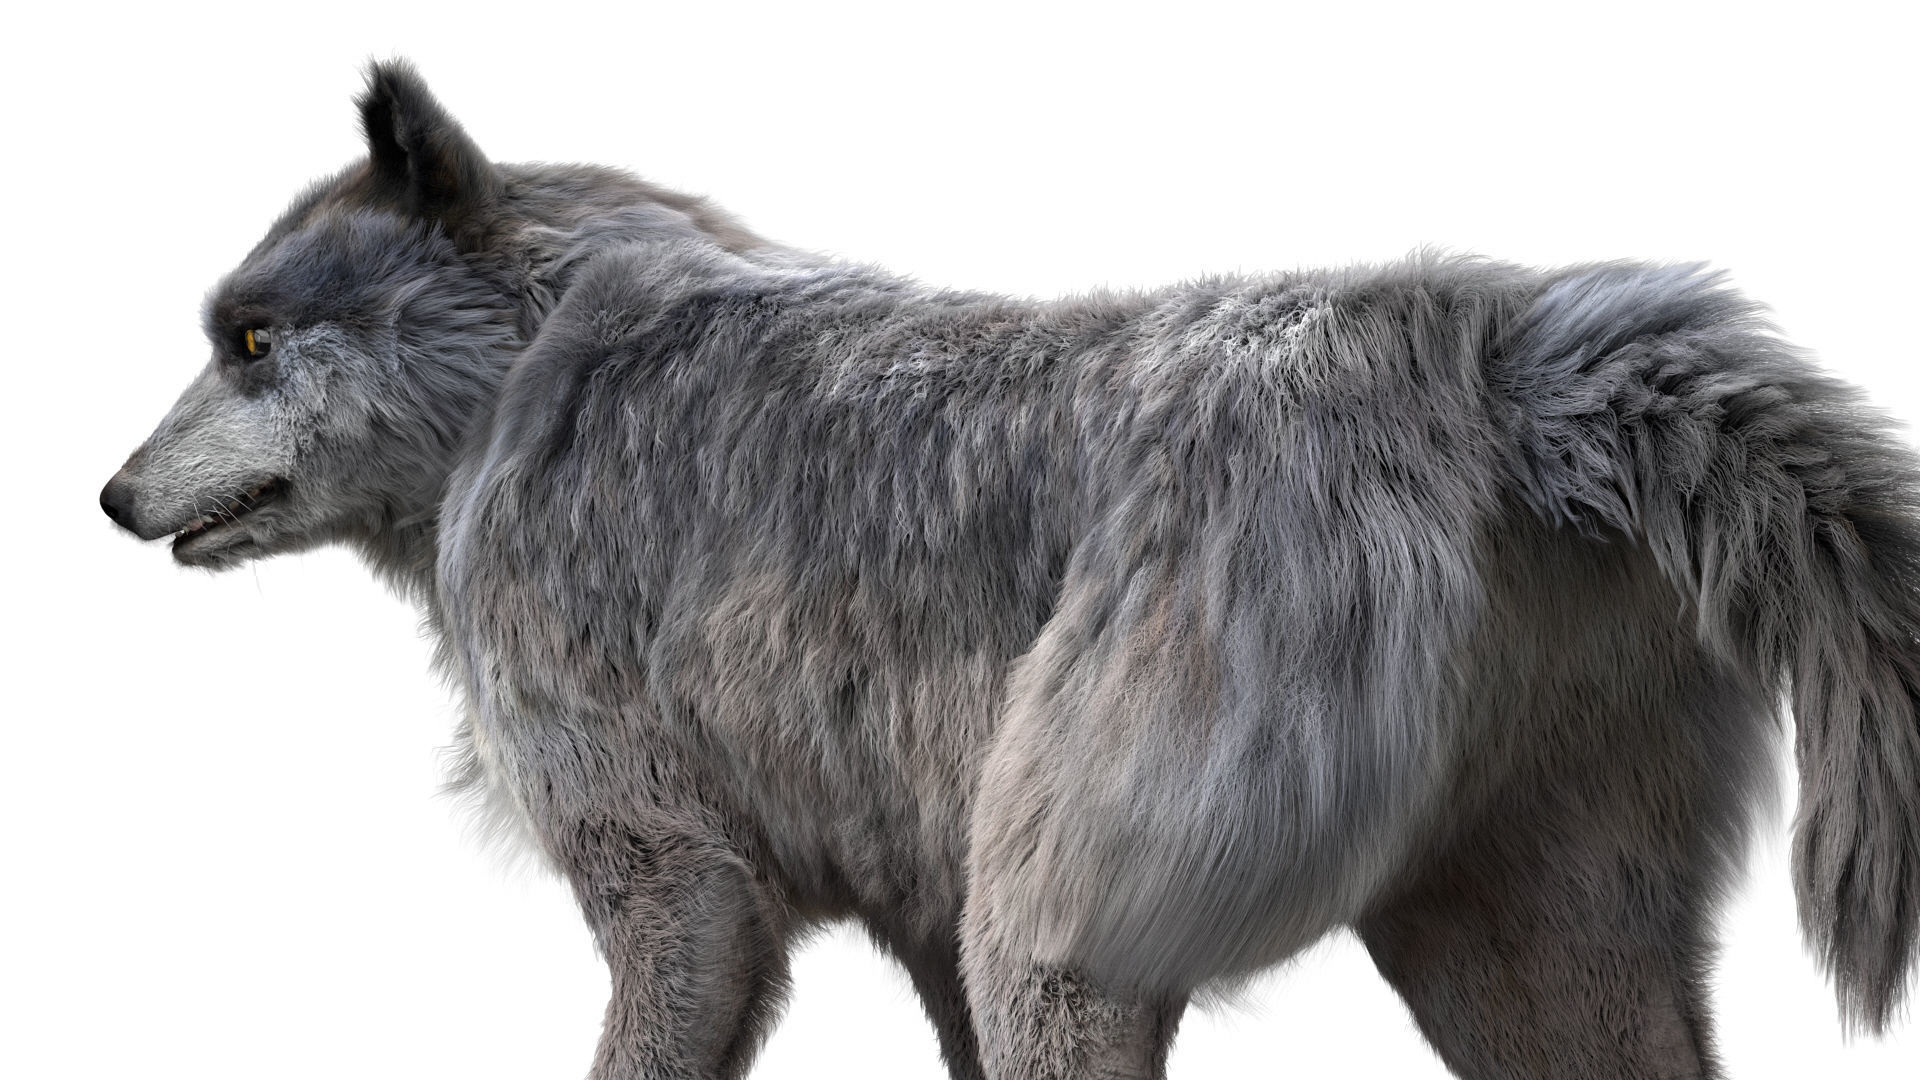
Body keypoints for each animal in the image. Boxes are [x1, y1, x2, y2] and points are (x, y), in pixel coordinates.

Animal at [101, 61, 1920, 1079]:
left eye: (250, 341)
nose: (109, 499)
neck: (528, 367)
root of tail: (1487, 346)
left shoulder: (679, 882)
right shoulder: (915, 909)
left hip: (1065, 942)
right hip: (1521, 953)